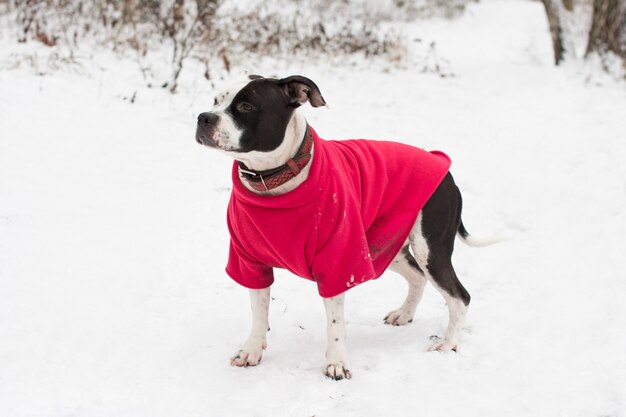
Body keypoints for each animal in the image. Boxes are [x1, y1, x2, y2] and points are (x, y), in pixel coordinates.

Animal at [195, 73, 478, 378]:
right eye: (216, 100)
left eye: (246, 106)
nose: (203, 117)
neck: (273, 179)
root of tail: (444, 168)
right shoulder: (250, 262)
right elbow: (259, 312)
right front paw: (251, 350)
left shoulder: (338, 261)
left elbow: (334, 322)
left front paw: (337, 362)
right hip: (384, 248)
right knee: (418, 277)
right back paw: (404, 314)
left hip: (430, 251)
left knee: (459, 296)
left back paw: (448, 344)